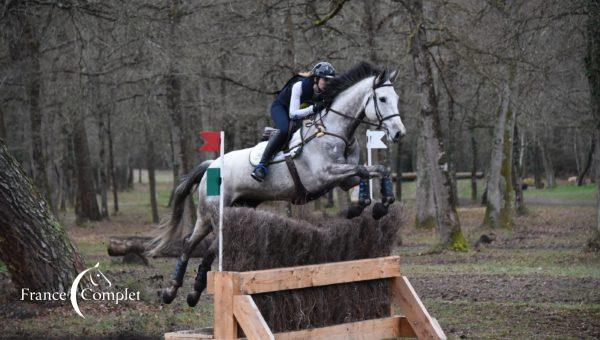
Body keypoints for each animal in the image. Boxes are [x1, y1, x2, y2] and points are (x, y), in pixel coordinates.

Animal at [147, 62, 406, 306]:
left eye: (396, 99)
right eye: (382, 99)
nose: (399, 134)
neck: (334, 131)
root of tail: (212, 164)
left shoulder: (343, 178)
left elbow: (374, 170)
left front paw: (375, 205)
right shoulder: (324, 175)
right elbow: (363, 170)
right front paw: (368, 206)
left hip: (236, 210)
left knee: (211, 249)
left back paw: (194, 292)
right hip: (208, 213)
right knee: (189, 244)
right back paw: (171, 291)